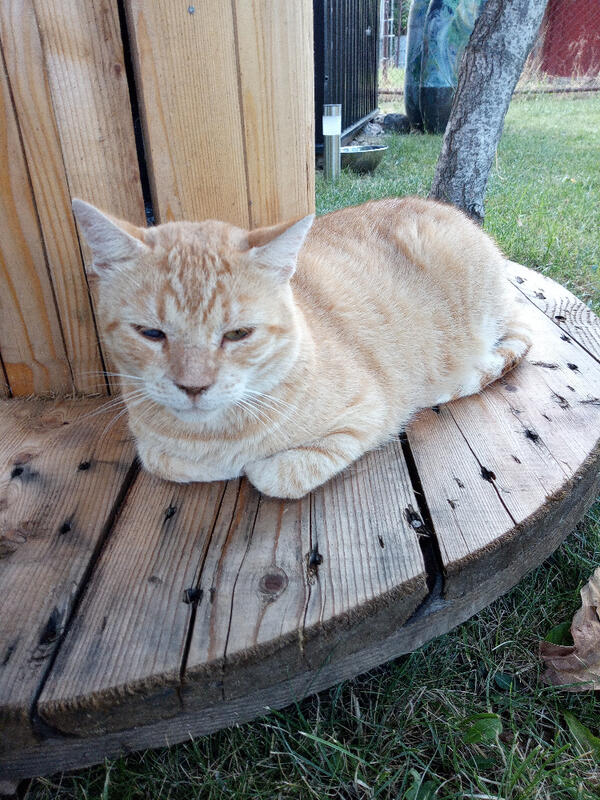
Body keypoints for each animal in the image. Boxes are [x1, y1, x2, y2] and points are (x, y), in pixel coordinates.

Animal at [73, 196, 532, 499]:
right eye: (150, 333)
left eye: (238, 334)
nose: (193, 387)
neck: (215, 433)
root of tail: (448, 209)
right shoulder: (153, 445)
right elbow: (164, 459)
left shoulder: (370, 414)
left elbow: (274, 475)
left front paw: (249, 465)